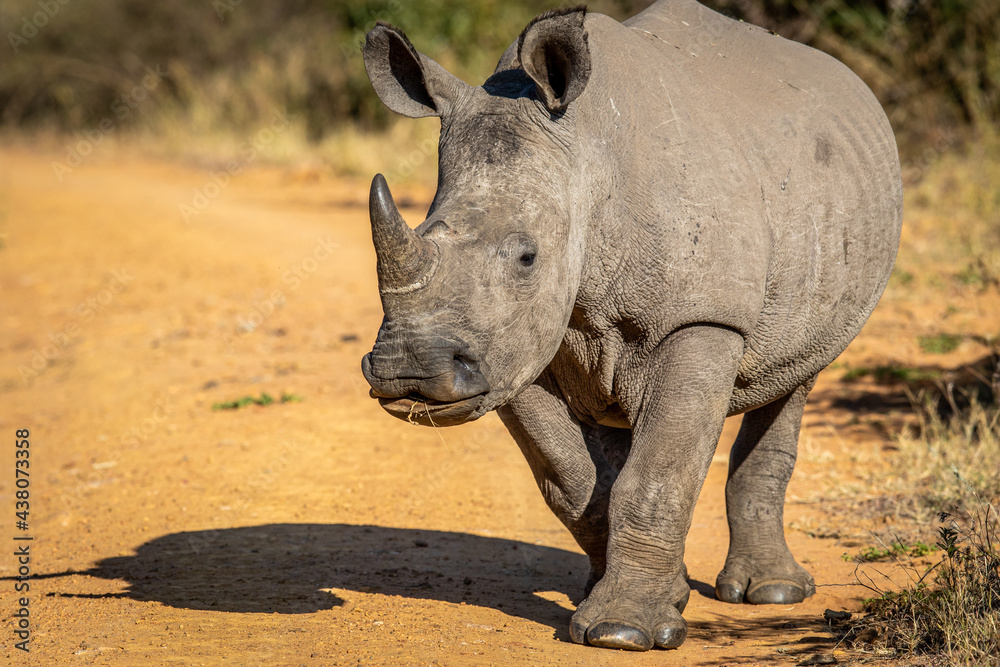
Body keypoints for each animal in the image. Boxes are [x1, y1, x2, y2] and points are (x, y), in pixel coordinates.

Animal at [360, 0, 902, 651]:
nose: (408, 371)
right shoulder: (511, 347)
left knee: (796, 374)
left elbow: (659, 473)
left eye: (527, 257)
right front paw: (637, 604)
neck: (586, 155)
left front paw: (623, 632)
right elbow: (572, 478)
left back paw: (772, 593)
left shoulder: (701, 318)